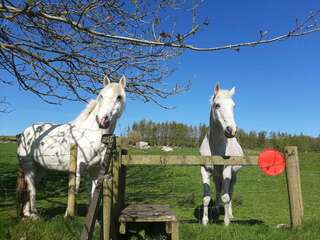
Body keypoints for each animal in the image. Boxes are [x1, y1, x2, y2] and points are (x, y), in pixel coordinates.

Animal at [16, 74, 126, 218]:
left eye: (119, 97)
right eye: (101, 96)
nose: (103, 120)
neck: (90, 135)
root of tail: (25, 132)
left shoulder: (96, 171)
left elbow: (93, 196)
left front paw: (93, 221)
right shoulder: (77, 169)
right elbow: (74, 190)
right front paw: (68, 216)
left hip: (40, 169)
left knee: (31, 187)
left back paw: (27, 213)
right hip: (28, 166)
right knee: (31, 189)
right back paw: (34, 215)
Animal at [199, 83, 244, 226]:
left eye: (234, 106)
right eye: (217, 105)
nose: (231, 130)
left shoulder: (226, 171)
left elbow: (226, 196)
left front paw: (226, 222)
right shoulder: (205, 170)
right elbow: (206, 197)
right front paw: (205, 221)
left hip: (233, 176)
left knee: (230, 192)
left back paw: (229, 213)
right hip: (216, 175)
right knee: (218, 189)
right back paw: (216, 209)